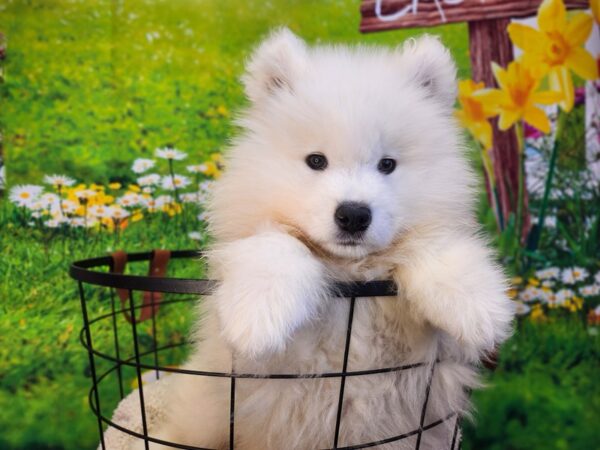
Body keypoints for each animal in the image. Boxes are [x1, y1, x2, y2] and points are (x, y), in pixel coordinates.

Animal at [135, 29, 510, 450]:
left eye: (387, 165)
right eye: (316, 161)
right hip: (206, 413)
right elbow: (278, 244)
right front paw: (258, 315)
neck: (352, 274)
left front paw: (476, 306)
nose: (354, 215)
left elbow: (431, 242)